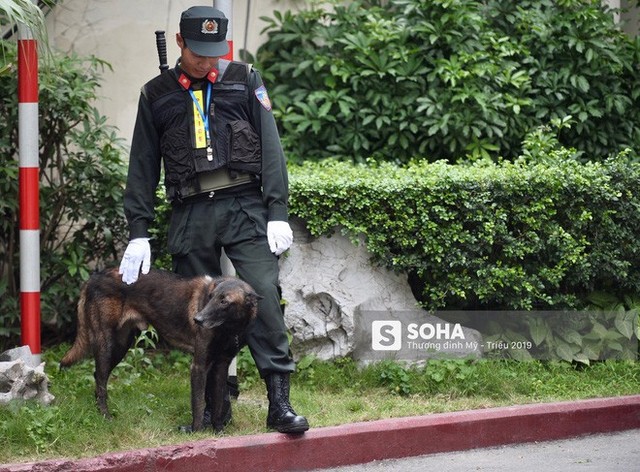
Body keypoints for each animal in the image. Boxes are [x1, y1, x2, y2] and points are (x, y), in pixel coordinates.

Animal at [59, 268, 260, 434]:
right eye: (210, 297)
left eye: (224, 301)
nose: (197, 319)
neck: (229, 328)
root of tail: (94, 277)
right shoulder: (199, 366)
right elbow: (198, 402)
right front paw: (197, 433)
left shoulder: (221, 366)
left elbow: (218, 403)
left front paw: (218, 432)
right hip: (106, 344)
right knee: (101, 382)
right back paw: (105, 416)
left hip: (120, 347)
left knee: (98, 377)